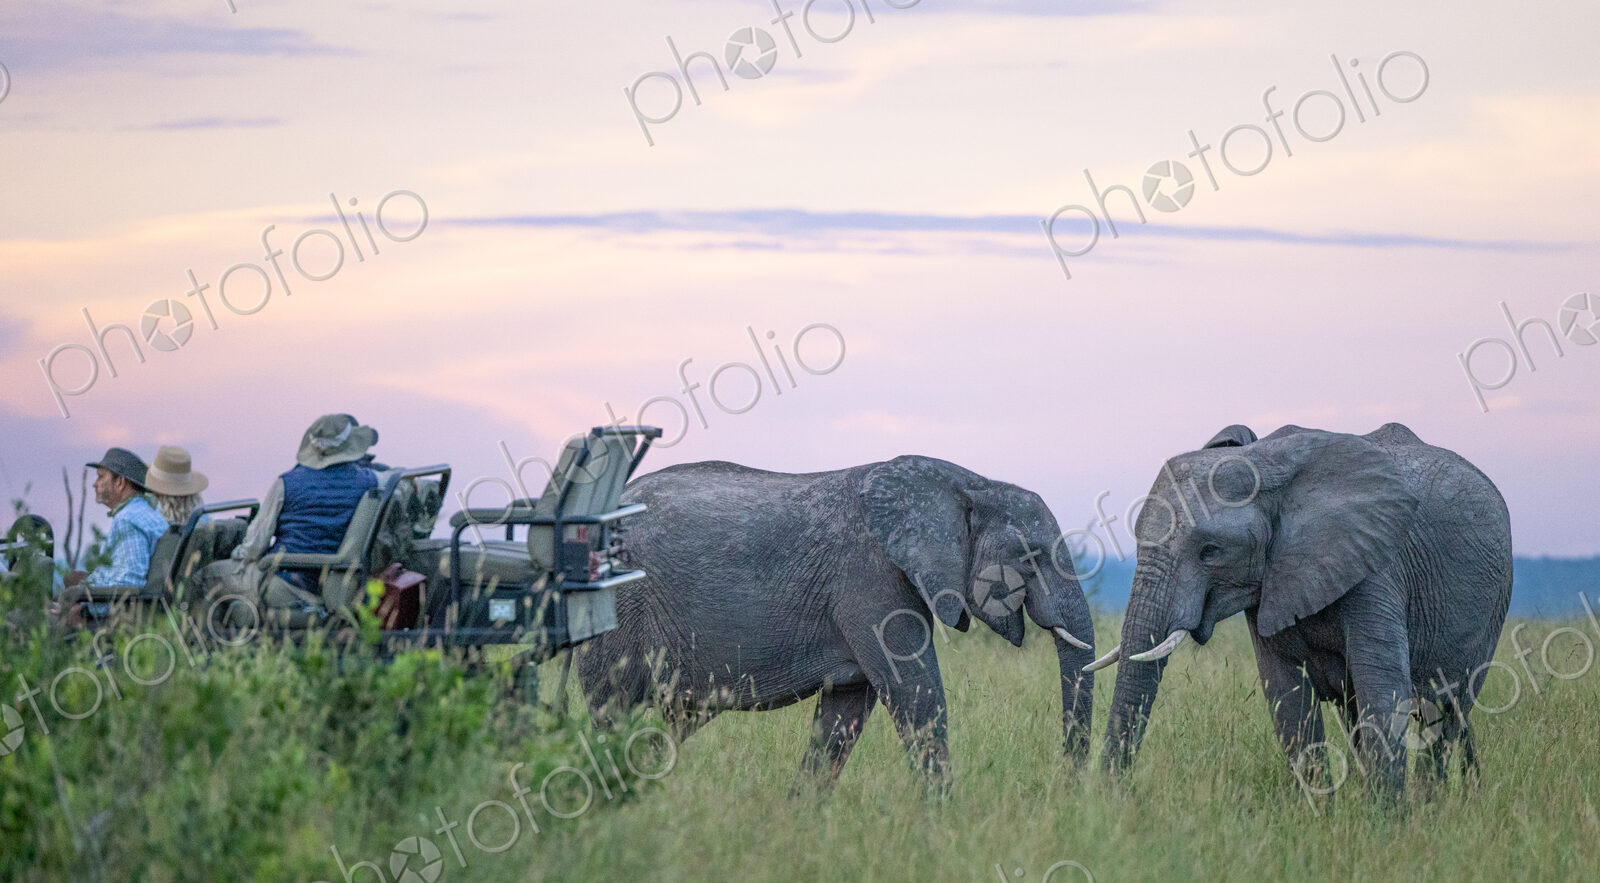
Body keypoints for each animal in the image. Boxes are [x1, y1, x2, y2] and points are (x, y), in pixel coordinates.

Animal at [576, 455, 1096, 787]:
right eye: (1031, 557)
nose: (1068, 790)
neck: (967, 483)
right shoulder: (870, 578)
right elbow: (914, 693)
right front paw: (944, 825)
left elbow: (845, 714)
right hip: (617, 608)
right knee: (613, 708)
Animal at [1090, 422, 1512, 798]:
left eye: (1210, 551)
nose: (1113, 800)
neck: (1265, 464)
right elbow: (1288, 698)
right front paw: (1321, 816)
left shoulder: (1376, 566)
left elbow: (1382, 691)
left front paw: (1385, 824)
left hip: (1492, 610)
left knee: (1446, 714)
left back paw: (1430, 807)